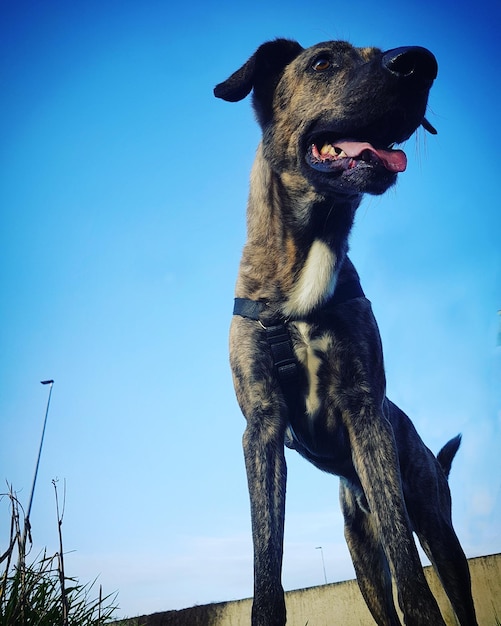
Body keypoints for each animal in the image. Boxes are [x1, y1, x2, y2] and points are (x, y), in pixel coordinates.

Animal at [214, 39, 476, 624]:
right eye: (322, 61)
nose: (419, 62)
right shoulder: (261, 428)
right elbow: (267, 568)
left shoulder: (364, 410)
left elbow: (413, 582)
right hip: (362, 558)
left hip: (438, 529)